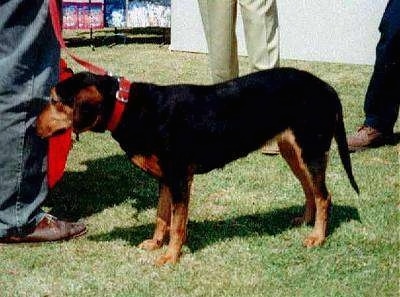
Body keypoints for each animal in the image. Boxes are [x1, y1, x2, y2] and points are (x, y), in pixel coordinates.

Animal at [35, 68, 360, 264]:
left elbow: (178, 223)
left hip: (312, 150)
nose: (34, 128)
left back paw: (317, 237)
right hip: (292, 151)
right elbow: (161, 217)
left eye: (55, 100)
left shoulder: (180, 177)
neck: (128, 106)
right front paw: (156, 244)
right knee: (309, 189)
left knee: (324, 196)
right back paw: (305, 221)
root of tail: (327, 87)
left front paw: (171, 257)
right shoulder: (165, 179)